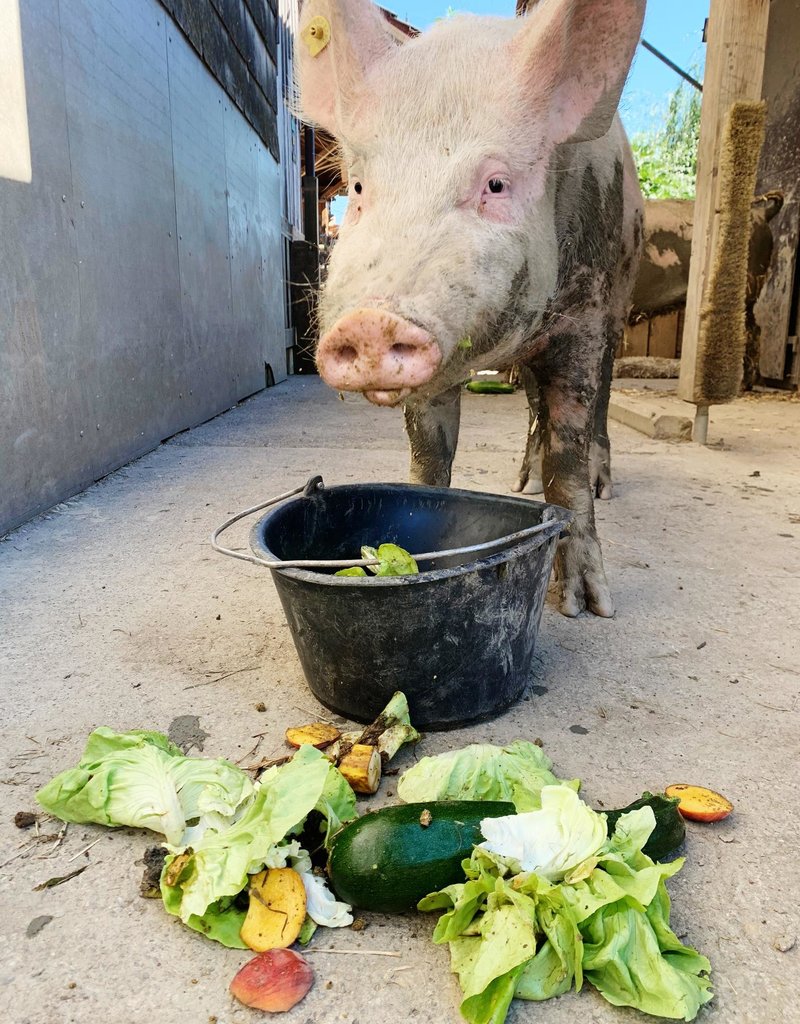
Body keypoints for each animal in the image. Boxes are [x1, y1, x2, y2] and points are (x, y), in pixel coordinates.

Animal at [297, 0, 647, 614]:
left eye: (497, 184)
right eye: (359, 189)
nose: (370, 322)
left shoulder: (584, 314)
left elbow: (568, 455)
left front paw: (585, 606)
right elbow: (429, 452)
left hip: (618, 305)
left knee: (599, 401)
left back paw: (601, 485)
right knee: (533, 403)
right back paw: (519, 483)